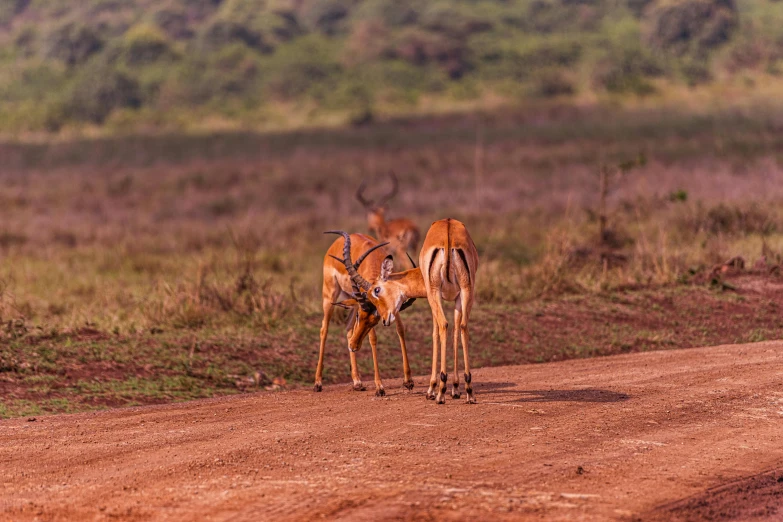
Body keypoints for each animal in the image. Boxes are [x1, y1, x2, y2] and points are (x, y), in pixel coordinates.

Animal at [312, 231, 416, 394]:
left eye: (374, 322)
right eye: (360, 316)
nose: (354, 346)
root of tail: (334, 244)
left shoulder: (393, 305)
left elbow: (400, 329)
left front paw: (408, 381)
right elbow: (373, 338)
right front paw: (379, 387)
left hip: (351, 300)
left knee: (348, 328)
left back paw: (357, 382)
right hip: (330, 295)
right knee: (324, 329)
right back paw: (318, 383)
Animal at [360, 217, 478, 404]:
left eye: (376, 290)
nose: (385, 319)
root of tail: (448, 230)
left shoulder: (432, 296)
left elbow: (436, 333)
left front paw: (433, 389)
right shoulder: (458, 297)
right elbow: (455, 332)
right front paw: (455, 388)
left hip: (436, 292)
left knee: (443, 325)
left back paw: (440, 393)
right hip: (467, 290)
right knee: (463, 327)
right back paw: (469, 391)